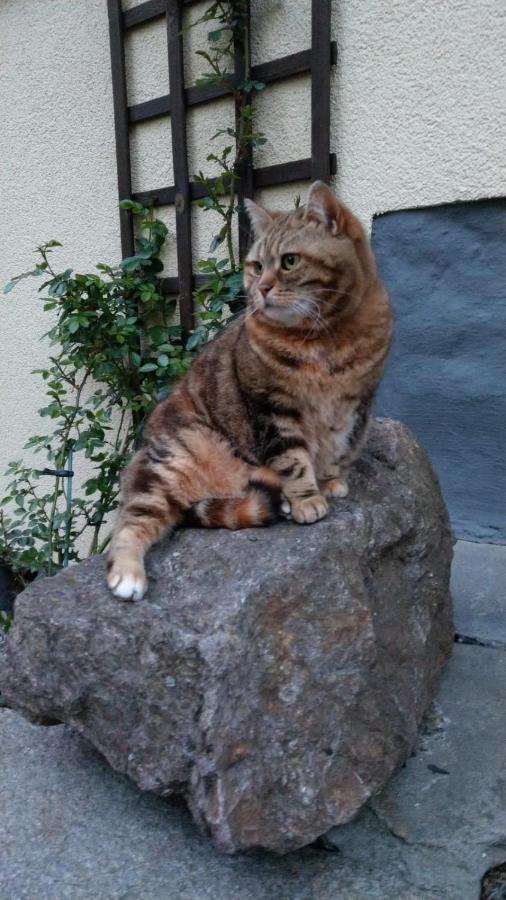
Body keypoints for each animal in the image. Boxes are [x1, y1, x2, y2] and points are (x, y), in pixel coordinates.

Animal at [105, 181, 392, 596]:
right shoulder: (272, 408)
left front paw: (329, 479)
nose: (262, 287)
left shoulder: (352, 406)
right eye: (257, 266)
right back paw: (128, 573)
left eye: (289, 261)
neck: (325, 336)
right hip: (171, 464)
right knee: (132, 520)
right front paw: (306, 498)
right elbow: (293, 460)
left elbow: (335, 448)